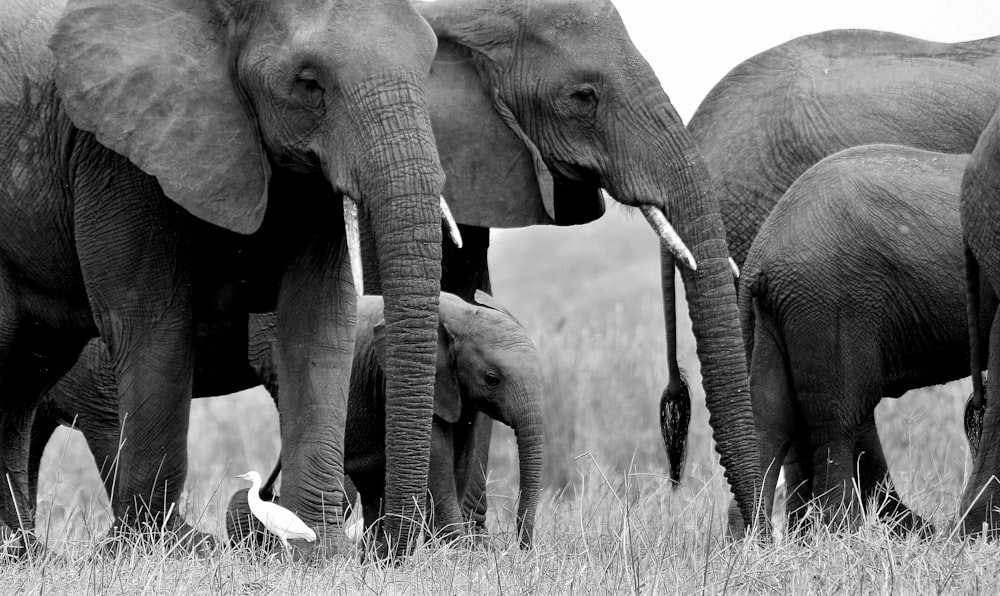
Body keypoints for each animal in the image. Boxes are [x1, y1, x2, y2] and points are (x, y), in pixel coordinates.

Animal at [0, 0, 446, 560]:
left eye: (430, 64)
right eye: (308, 84)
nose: (388, 548)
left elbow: (318, 324)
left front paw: (318, 550)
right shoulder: (117, 152)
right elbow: (151, 323)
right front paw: (166, 549)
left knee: (23, 377)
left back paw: (22, 553)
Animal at [33, 292, 548, 548]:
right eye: (493, 377)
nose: (521, 548)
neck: (462, 314)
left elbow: (464, 448)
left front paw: (465, 553)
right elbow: (439, 454)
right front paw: (460, 553)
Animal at [740, 146, 996, 536]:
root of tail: (761, 254)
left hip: (776, 317)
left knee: (773, 418)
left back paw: (751, 543)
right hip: (830, 302)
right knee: (837, 420)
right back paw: (842, 534)